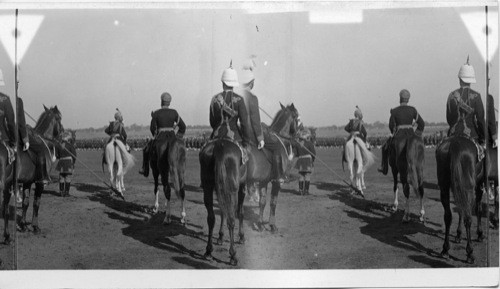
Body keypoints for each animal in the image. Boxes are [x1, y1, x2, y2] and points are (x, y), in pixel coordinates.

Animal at [0, 105, 63, 241]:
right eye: (59, 118)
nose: (62, 134)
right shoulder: (40, 183)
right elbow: (36, 203)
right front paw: (35, 227)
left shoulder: (27, 182)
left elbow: (26, 203)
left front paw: (23, 225)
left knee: (6, 207)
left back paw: (7, 236)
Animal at [199, 102, 298, 264]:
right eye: (296, 117)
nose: (298, 134)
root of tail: (219, 144)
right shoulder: (275, 183)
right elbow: (272, 203)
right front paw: (272, 225)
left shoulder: (261, 182)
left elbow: (261, 203)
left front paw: (259, 225)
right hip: (230, 188)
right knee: (230, 217)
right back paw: (233, 254)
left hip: (210, 187)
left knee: (213, 217)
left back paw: (210, 249)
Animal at [436, 136, 486, 264]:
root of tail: (455, 143)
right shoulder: (479, 185)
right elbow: (478, 209)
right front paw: (480, 234)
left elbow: (459, 210)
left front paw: (458, 234)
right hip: (468, 188)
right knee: (468, 218)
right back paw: (470, 252)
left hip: (444, 187)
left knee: (448, 216)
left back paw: (445, 249)